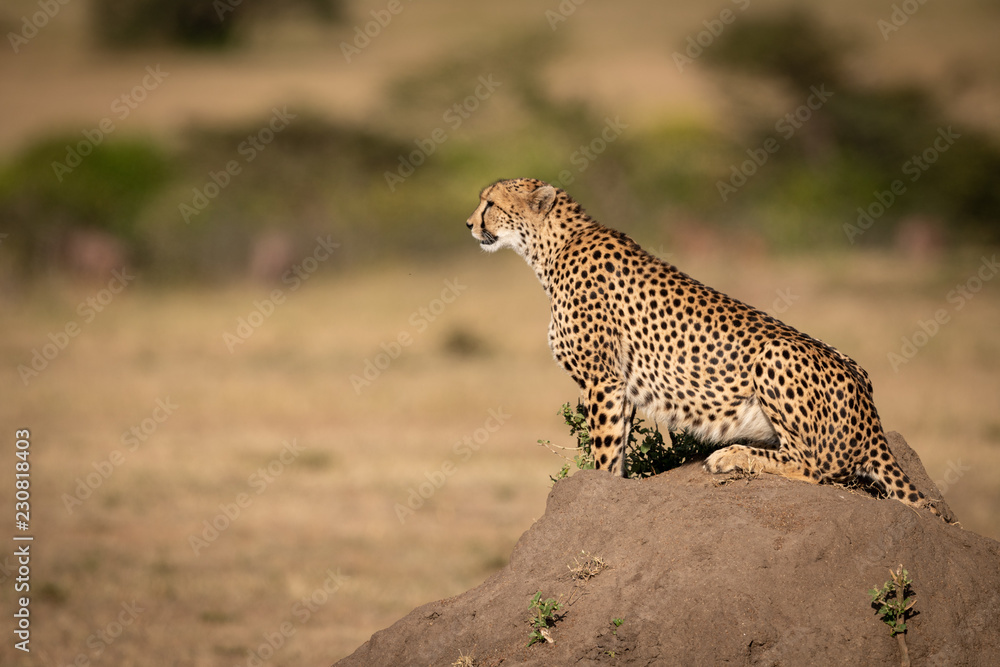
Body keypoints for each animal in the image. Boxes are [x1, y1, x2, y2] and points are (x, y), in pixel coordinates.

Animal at [466, 176, 940, 516]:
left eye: (489, 203)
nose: (469, 225)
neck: (552, 247)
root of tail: (870, 410)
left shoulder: (602, 379)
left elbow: (604, 451)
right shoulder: (620, 385)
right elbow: (617, 451)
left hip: (776, 355)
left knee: (817, 466)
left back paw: (730, 456)